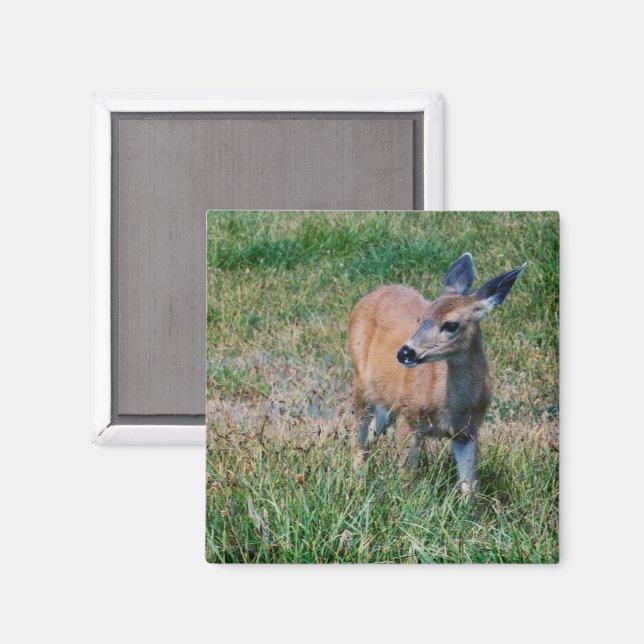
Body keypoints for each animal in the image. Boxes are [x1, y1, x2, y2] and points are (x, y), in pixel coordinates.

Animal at [348, 253, 526, 495]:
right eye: (420, 319)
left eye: (451, 325)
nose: (405, 353)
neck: (449, 407)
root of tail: (376, 292)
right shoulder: (409, 416)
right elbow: (407, 479)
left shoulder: (468, 431)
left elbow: (470, 486)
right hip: (360, 383)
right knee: (358, 437)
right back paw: (356, 483)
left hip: (386, 402)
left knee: (372, 436)